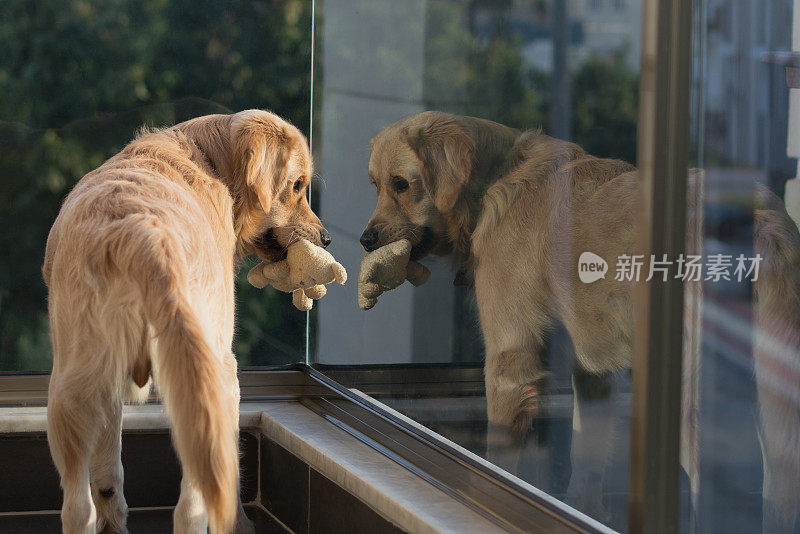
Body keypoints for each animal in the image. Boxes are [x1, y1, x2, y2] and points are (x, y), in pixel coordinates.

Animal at [41, 110, 324, 534]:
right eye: (298, 186)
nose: (327, 238)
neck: (209, 158)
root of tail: (141, 234)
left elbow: (108, 471)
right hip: (213, 377)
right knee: (195, 503)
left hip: (73, 387)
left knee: (78, 507)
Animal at [362, 111, 800, 528]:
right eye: (375, 186)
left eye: (401, 184)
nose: (366, 239)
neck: (493, 184)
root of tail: (763, 219)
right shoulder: (593, 373)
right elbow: (586, 460)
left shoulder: (510, 361)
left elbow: (498, 460)